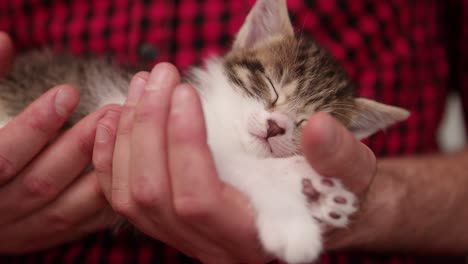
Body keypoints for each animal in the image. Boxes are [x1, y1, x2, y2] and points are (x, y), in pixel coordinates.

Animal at [0, 0, 410, 262]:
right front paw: (293, 219)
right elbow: (248, 168)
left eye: (306, 122)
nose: (275, 127)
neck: (224, 118)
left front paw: (318, 191)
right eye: (271, 86)